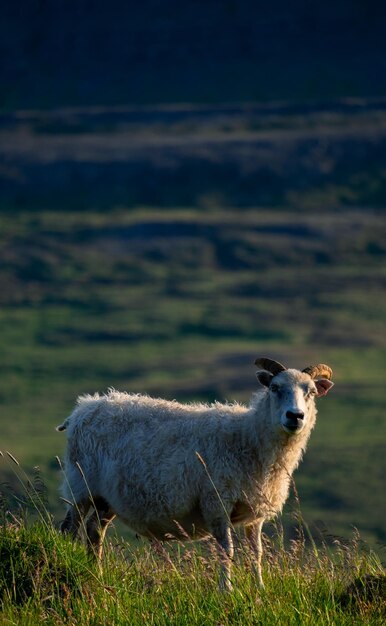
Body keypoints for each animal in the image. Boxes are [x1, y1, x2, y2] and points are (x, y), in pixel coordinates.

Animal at [58, 356, 334, 588]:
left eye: (310, 392)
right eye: (275, 388)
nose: (295, 416)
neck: (248, 436)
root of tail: (84, 407)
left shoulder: (254, 512)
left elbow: (256, 553)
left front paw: (259, 591)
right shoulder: (217, 502)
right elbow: (227, 551)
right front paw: (226, 591)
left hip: (107, 498)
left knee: (95, 530)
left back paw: (97, 573)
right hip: (79, 484)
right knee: (69, 528)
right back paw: (67, 567)